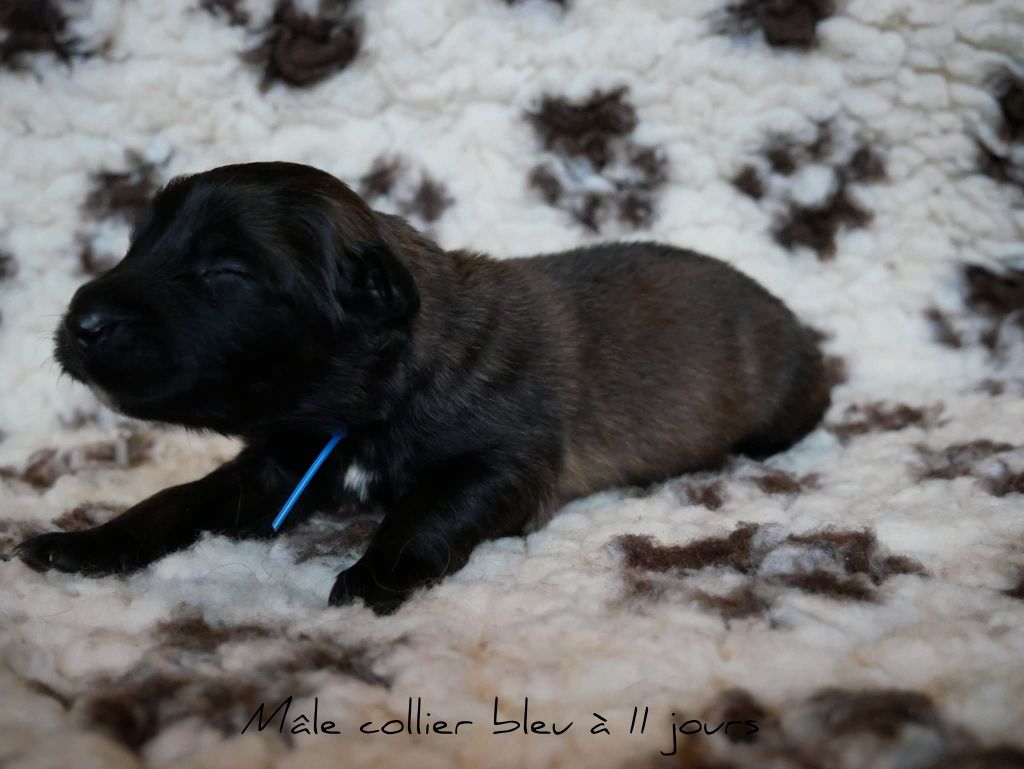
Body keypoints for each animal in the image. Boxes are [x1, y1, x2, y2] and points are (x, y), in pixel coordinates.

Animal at [16, 162, 831, 613]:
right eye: (137, 245)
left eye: (226, 271)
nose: (81, 322)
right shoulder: (279, 463)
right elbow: (178, 499)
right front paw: (87, 542)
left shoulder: (504, 462)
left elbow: (426, 509)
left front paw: (376, 573)